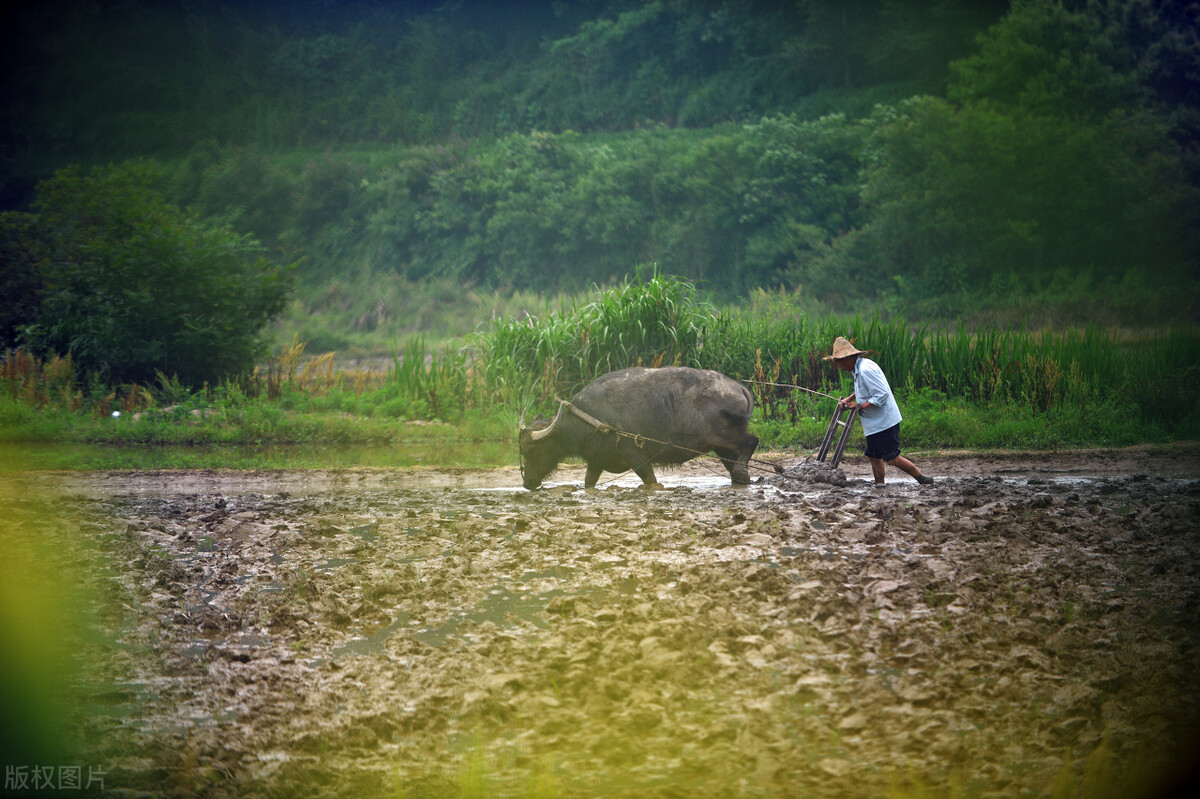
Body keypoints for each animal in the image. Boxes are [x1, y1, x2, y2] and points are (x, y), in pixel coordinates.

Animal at [516, 364, 758, 489]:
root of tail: (738, 387)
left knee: (752, 441)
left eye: (532, 450)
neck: (591, 418)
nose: (527, 483)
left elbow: (650, 480)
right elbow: (588, 482)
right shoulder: (596, 461)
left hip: (725, 436)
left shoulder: (636, 455)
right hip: (722, 447)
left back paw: (742, 471)